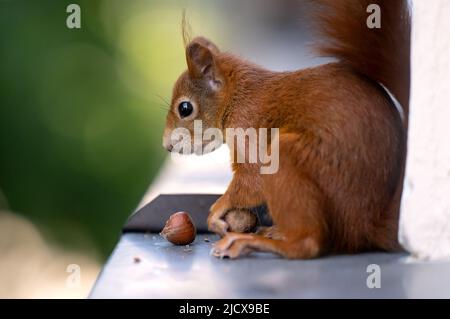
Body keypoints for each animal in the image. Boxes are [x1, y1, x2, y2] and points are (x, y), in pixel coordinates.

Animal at [163, 0, 412, 258]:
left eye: (185, 108)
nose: (167, 145)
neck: (237, 97)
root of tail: (366, 225)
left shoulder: (248, 125)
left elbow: (253, 178)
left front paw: (216, 210)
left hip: (288, 157)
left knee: (308, 243)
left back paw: (252, 241)